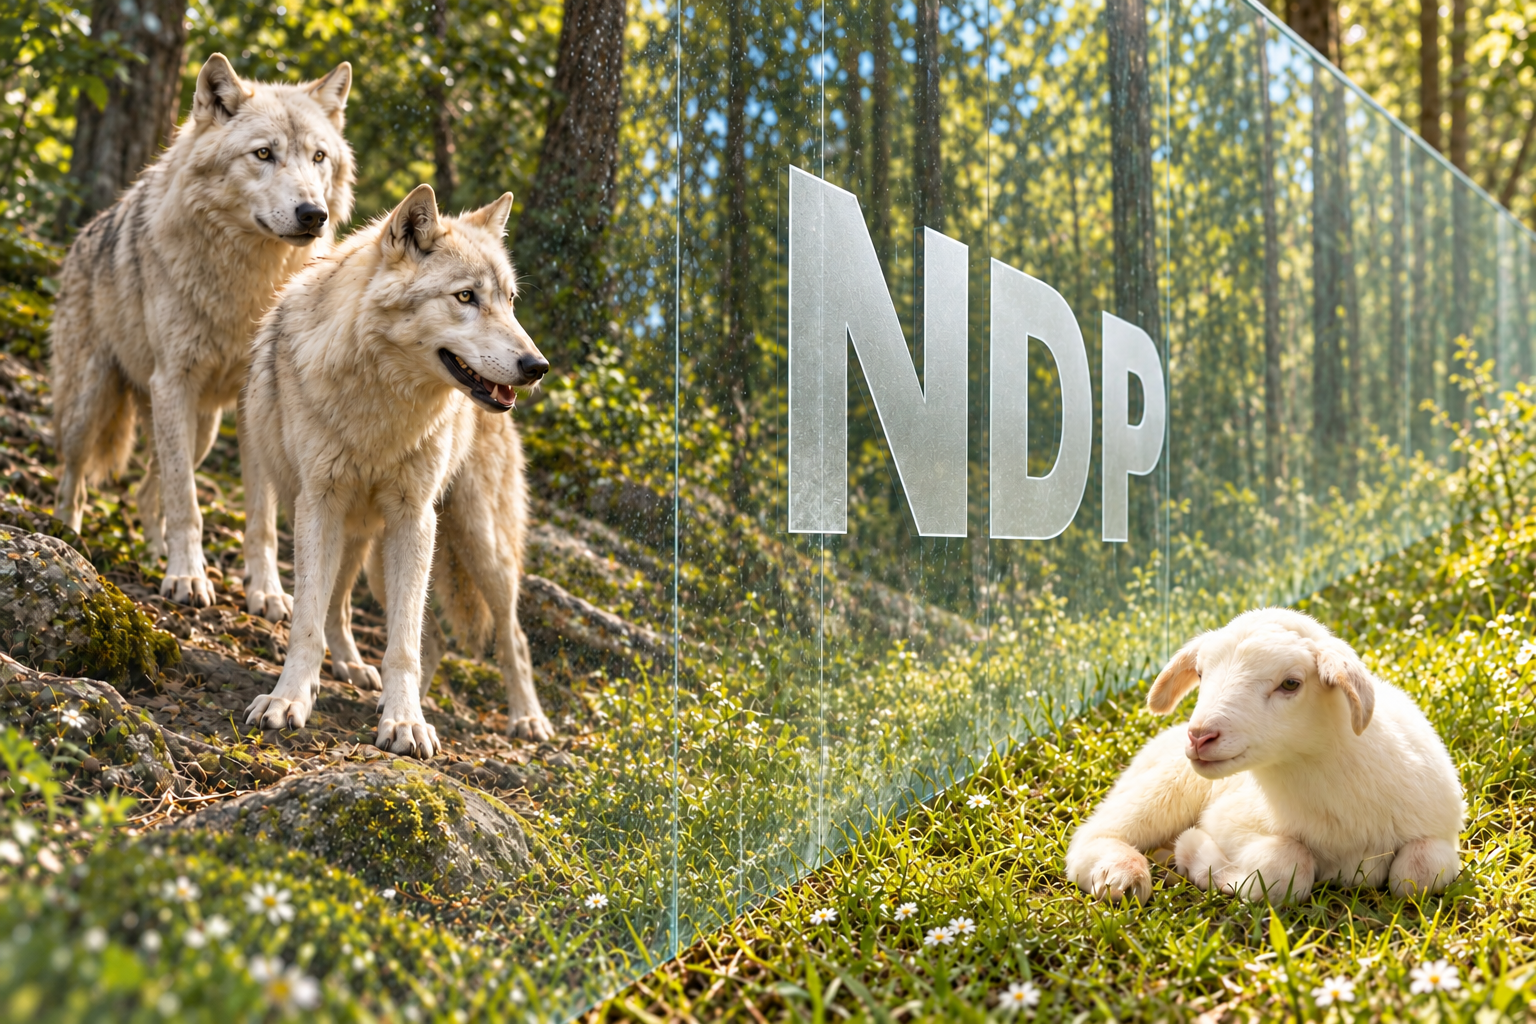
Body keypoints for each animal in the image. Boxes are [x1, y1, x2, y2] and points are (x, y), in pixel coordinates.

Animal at [50, 53, 354, 607]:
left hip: (202, 432)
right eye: (264, 154)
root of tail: (85, 233)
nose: (313, 214)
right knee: (77, 478)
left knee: (149, 489)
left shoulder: (251, 404)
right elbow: (186, 502)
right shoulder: (173, 382)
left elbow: (260, 517)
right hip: (92, 404)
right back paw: (68, 534)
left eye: (319, 157)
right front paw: (189, 578)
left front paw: (267, 592)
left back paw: (152, 552)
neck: (245, 288)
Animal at [240, 184, 553, 755]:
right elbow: (308, 621)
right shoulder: (318, 504)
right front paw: (289, 700)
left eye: (510, 300)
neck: (383, 410)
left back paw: (527, 720)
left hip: (476, 547)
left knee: (510, 636)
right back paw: (357, 677)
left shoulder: (415, 517)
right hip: (366, 543)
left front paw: (406, 723)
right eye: (466, 297)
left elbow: (403, 642)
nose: (536, 367)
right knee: (374, 620)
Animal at [1065, 608, 1464, 903]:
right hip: (1170, 784)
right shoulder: (1228, 820)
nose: (1200, 736)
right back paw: (1121, 874)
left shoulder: (1440, 831)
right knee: (1096, 832)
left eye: (1291, 683)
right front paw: (1198, 858)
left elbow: (1419, 872)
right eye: (1200, 673)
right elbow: (1288, 865)